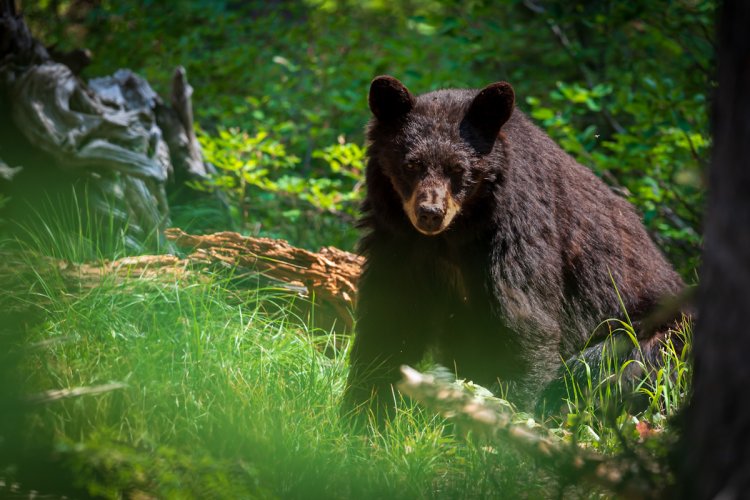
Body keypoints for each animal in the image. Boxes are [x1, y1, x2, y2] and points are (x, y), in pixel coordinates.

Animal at [346, 76, 688, 416]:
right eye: (411, 165)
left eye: (458, 169)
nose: (430, 213)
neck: (455, 235)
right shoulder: (399, 240)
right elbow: (393, 317)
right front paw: (363, 410)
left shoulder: (517, 233)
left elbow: (524, 322)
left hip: (658, 335)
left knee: (614, 365)